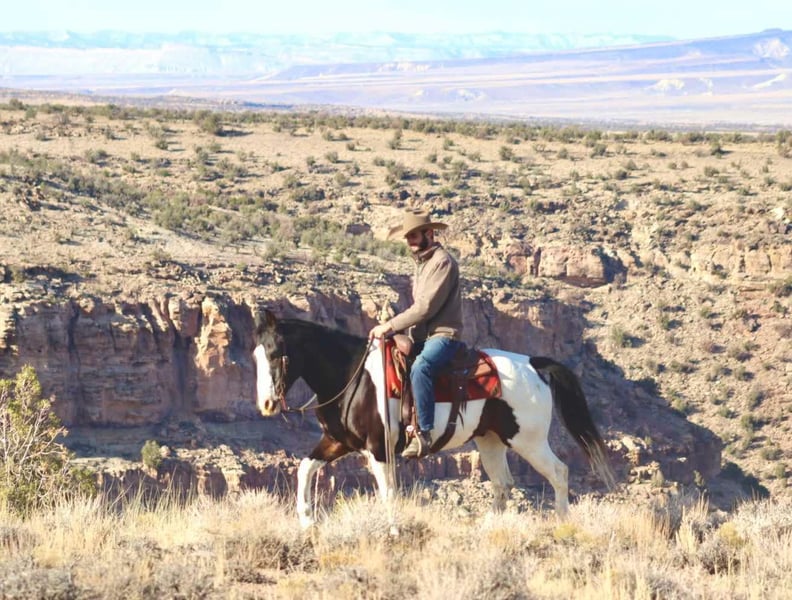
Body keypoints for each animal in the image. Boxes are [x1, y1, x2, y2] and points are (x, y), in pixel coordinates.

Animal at [253, 309, 615, 528]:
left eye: (276, 354)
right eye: (255, 355)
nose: (267, 404)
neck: (352, 377)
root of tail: (533, 363)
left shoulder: (379, 449)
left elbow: (388, 493)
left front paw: (393, 530)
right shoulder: (337, 441)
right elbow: (304, 468)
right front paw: (307, 522)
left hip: (528, 440)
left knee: (559, 472)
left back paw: (562, 523)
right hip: (491, 441)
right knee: (503, 483)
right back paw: (490, 527)